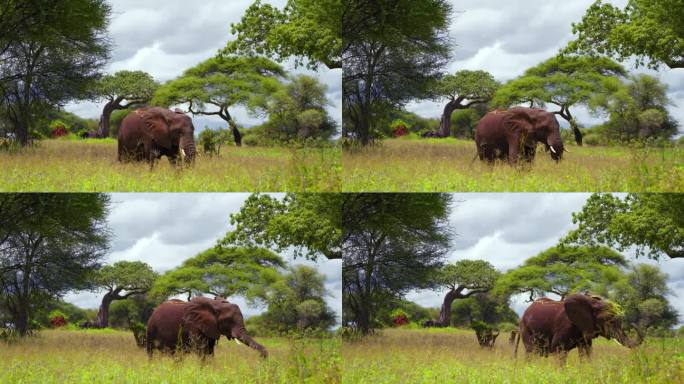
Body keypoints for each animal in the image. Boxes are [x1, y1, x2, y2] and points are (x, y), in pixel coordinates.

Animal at [516, 294, 644, 360]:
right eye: (610, 321)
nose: (633, 324)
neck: (591, 303)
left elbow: (586, 352)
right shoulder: (565, 327)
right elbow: (558, 349)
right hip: (526, 329)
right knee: (531, 352)